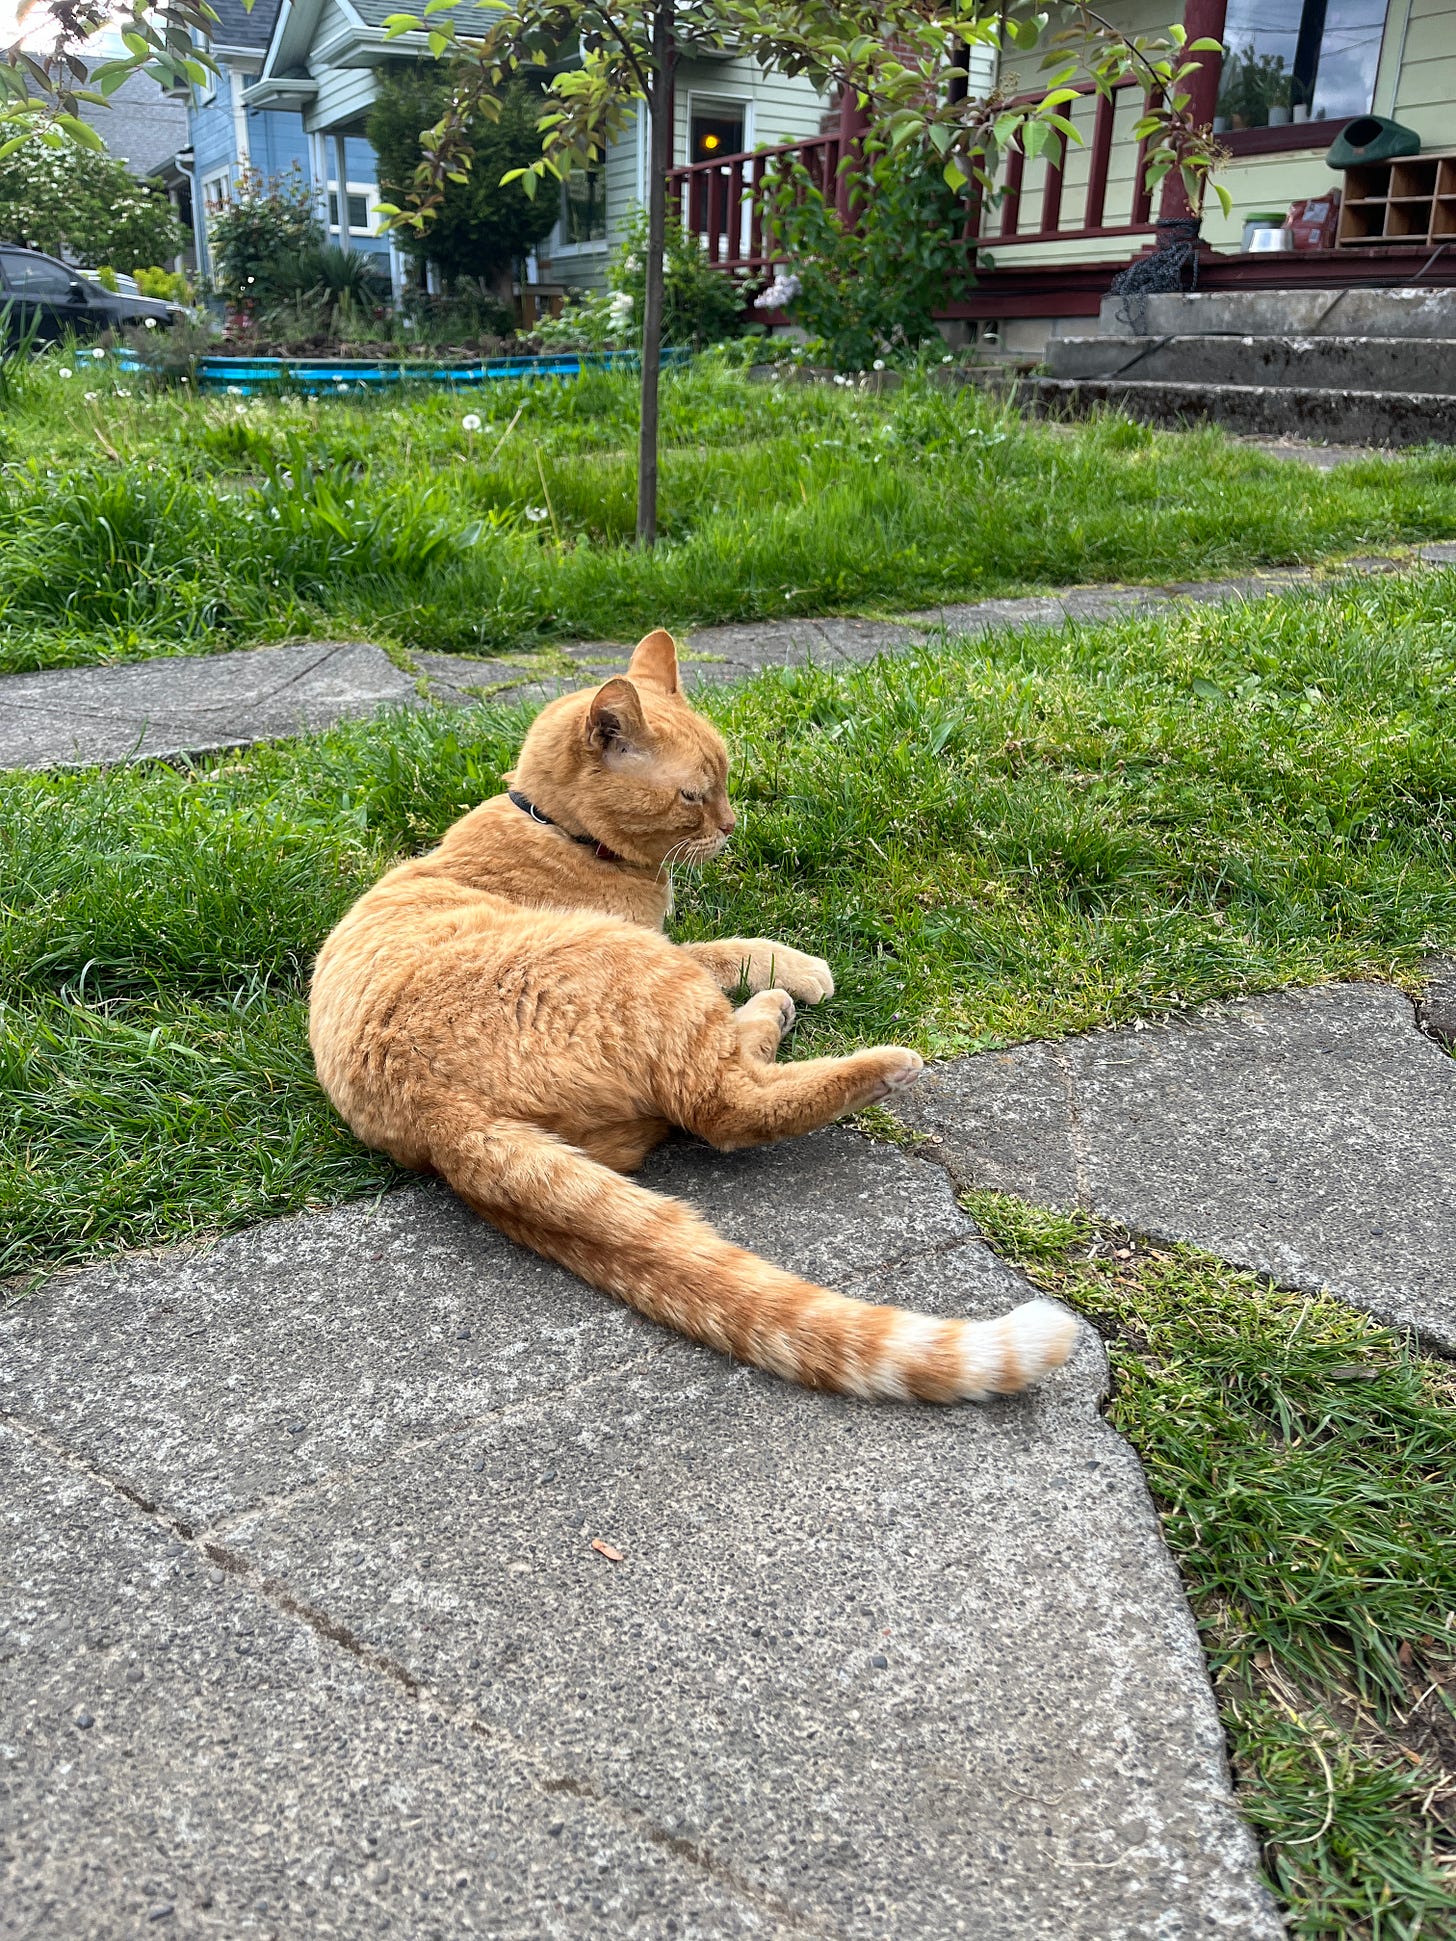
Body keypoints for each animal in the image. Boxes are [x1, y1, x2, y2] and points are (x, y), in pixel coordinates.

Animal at [310, 628, 1087, 1405]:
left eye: (727, 780)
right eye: (693, 794)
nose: (731, 826)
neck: (557, 830)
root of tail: (437, 1117)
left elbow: (723, 953)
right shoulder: (660, 941)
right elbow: (730, 949)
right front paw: (794, 967)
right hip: (640, 968)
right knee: (724, 1105)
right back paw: (841, 1044)